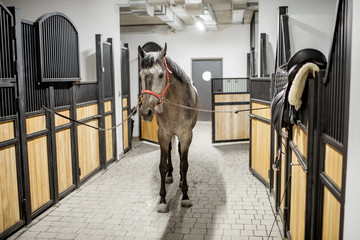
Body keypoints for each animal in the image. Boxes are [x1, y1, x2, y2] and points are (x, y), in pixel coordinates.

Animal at [138, 42, 200, 212]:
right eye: (140, 75)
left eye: (161, 75)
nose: (145, 112)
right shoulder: (163, 135)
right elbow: (162, 166)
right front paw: (162, 200)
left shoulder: (186, 135)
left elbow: (184, 165)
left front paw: (185, 196)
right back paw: (172, 175)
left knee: (178, 151)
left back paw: (181, 180)